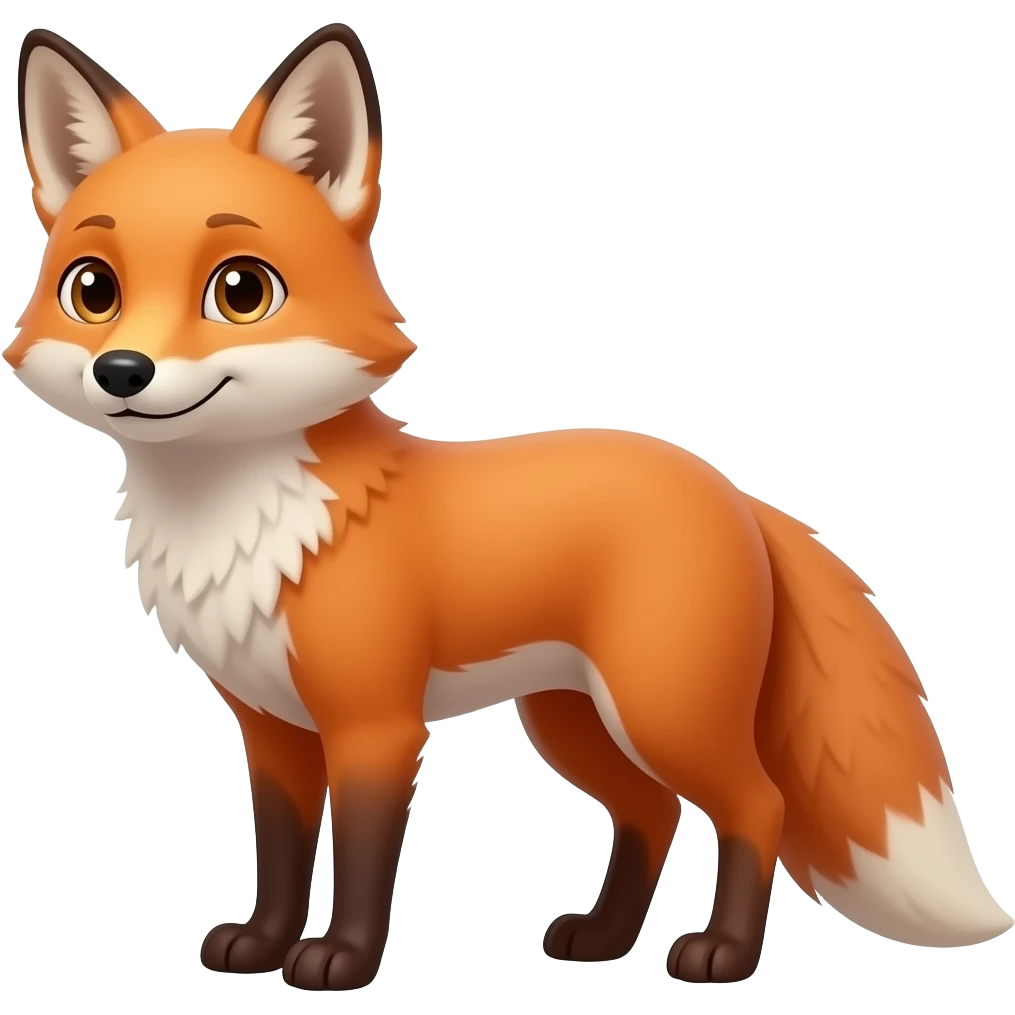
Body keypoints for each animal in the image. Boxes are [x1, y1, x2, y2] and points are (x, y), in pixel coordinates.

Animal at [8, 22, 1012, 992]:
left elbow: (363, 858)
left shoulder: (377, 725)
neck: (246, 521)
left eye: (241, 290)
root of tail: (730, 488)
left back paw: (721, 954)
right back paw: (602, 938)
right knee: (650, 811)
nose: (123, 372)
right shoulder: (272, 728)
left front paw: (341, 962)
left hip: (660, 710)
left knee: (753, 803)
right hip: (573, 720)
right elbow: (284, 852)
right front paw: (261, 944)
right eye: (92, 289)